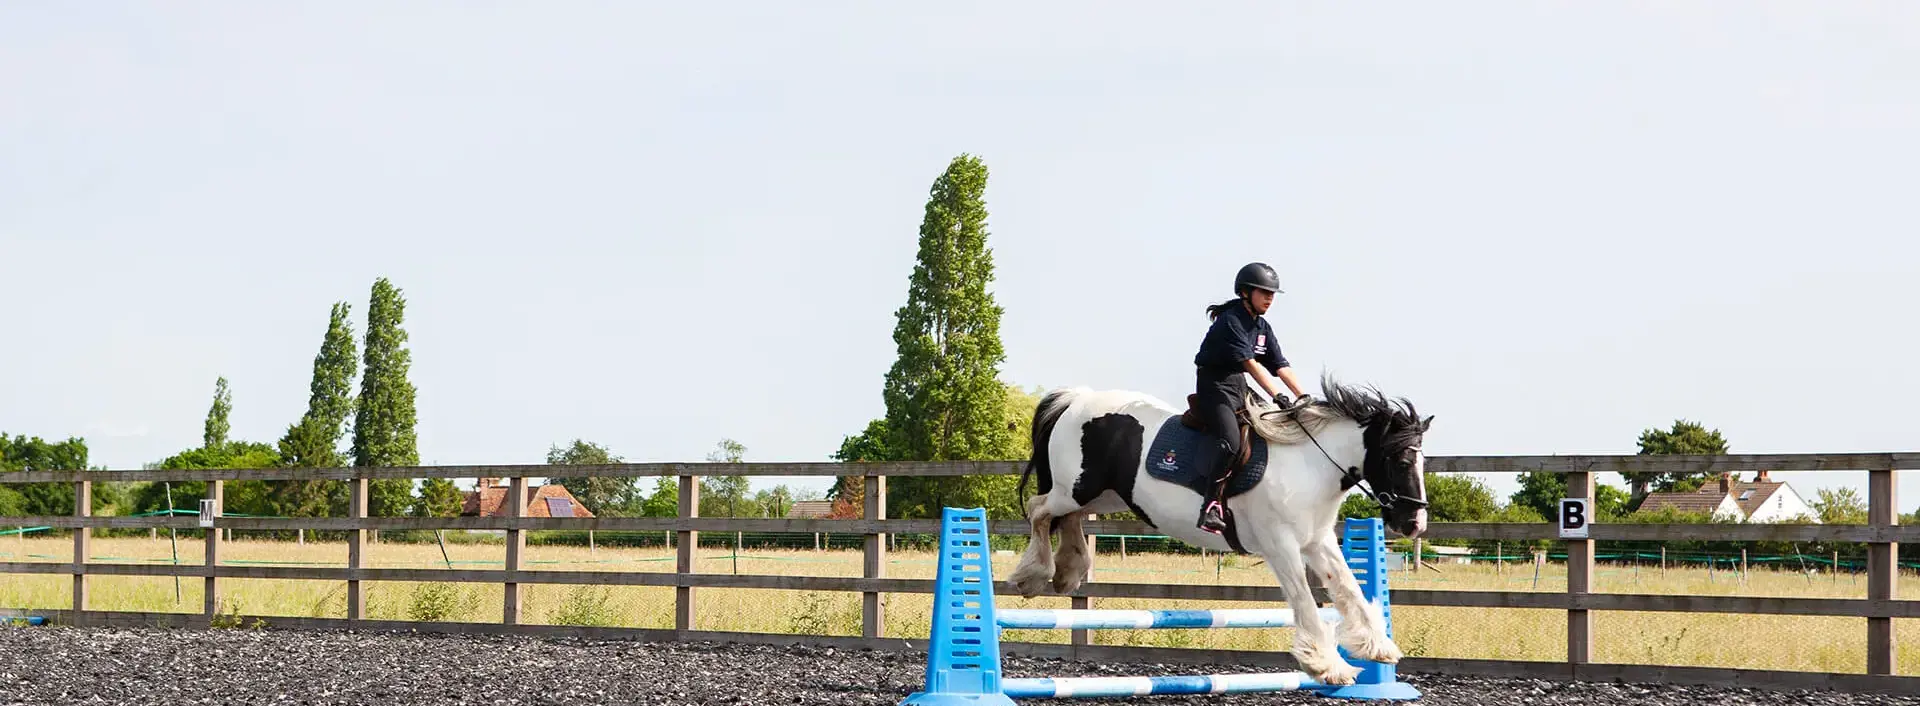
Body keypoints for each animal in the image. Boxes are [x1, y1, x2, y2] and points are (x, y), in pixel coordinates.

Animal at [1013, 372, 1436, 686]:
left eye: (1420, 460)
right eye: (1400, 460)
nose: (1414, 523)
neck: (1309, 463)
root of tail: (1076, 399)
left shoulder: (1316, 541)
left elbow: (1348, 588)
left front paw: (1378, 647)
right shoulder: (1280, 544)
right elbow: (1304, 600)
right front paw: (1325, 665)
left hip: (1102, 496)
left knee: (1066, 518)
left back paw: (1068, 571)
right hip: (1077, 488)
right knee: (1038, 510)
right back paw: (1034, 575)